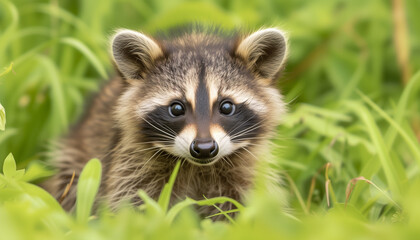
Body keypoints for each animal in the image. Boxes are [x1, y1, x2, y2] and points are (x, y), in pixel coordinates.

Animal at [45, 26, 288, 218]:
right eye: (177, 108)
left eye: (226, 107)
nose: (204, 148)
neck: (198, 167)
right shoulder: (132, 166)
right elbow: (132, 205)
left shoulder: (247, 171)